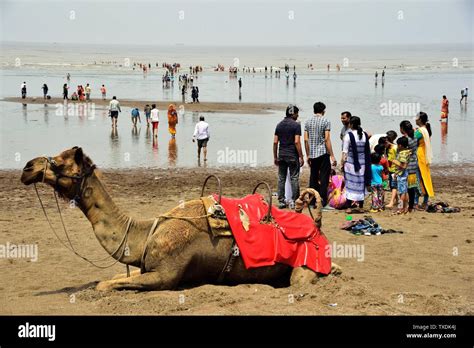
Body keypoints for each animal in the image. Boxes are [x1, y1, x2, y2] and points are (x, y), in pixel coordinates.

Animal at [21, 147, 340, 290]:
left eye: (61, 161)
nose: (27, 167)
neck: (145, 234)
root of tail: (315, 223)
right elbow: (110, 279)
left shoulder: (165, 275)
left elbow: (105, 285)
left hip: (304, 262)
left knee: (302, 281)